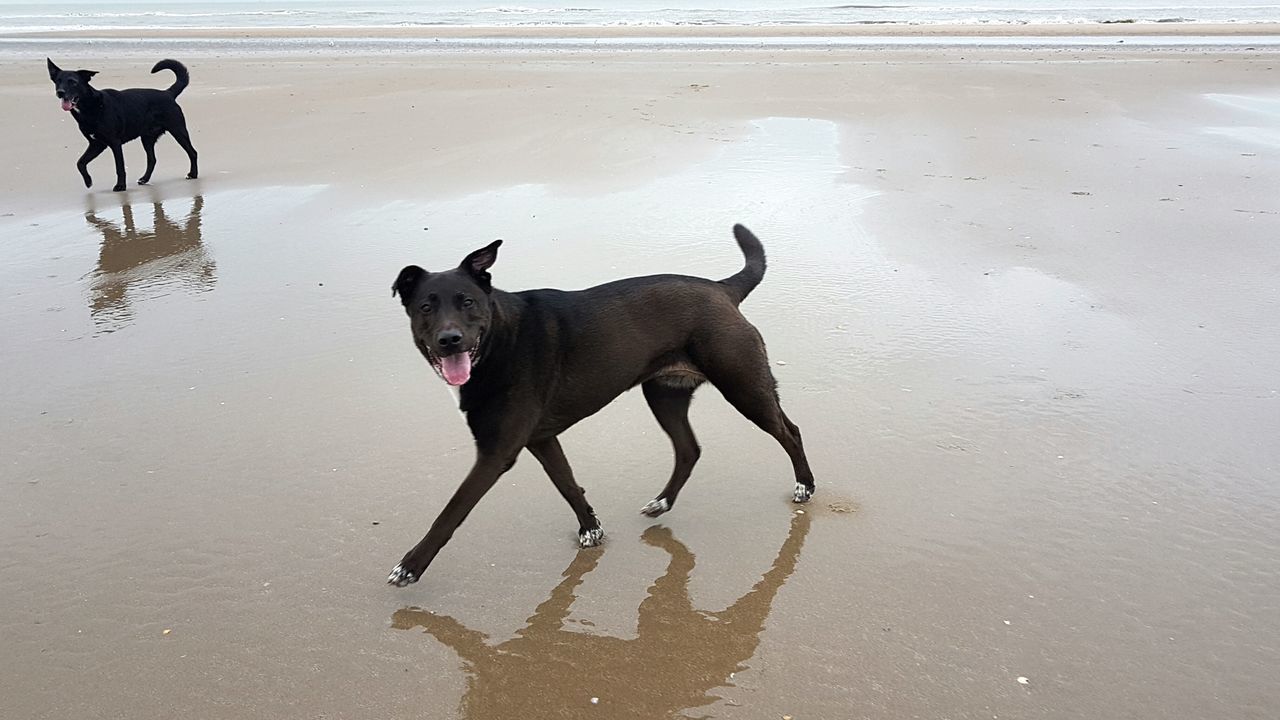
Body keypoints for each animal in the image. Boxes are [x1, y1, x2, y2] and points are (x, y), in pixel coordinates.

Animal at [45, 57, 197, 190]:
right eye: (58, 81)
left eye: (73, 82)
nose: (60, 92)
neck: (91, 106)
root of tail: (168, 93)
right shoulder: (96, 144)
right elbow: (80, 163)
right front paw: (88, 181)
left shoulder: (114, 143)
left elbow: (120, 167)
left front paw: (120, 186)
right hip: (147, 138)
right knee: (152, 159)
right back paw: (144, 179)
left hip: (178, 130)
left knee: (192, 152)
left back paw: (193, 174)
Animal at [384, 222, 814, 584]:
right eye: (426, 307)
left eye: (468, 302)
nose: (450, 339)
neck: (500, 340)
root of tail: (721, 288)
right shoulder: (540, 438)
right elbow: (567, 482)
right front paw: (590, 528)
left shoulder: (496, 451)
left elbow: (452, 511)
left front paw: (411, 565)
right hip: (664, 395)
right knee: (689, 449)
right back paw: (663, 502)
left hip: (743, 386)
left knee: (789, 431)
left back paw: (804, 487)